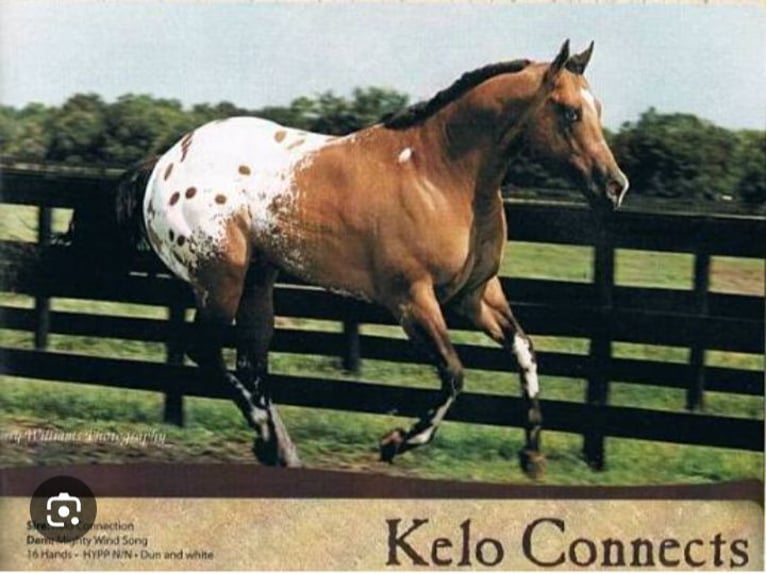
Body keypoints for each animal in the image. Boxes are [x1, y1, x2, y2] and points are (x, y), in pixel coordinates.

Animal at [110, 40, 628, 477]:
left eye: (597, 109)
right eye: (570, 112)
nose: (615, 186)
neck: (440, 172)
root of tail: (164, 163)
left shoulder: (474, 295)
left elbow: (524, 351)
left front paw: (532, 456)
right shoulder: (411, 299)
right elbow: (454, 375)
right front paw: (395, 443)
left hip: (258, 280)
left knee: (250, 364)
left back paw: (280, 448)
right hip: (221, 280)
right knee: (207, 353)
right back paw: (265, 435)